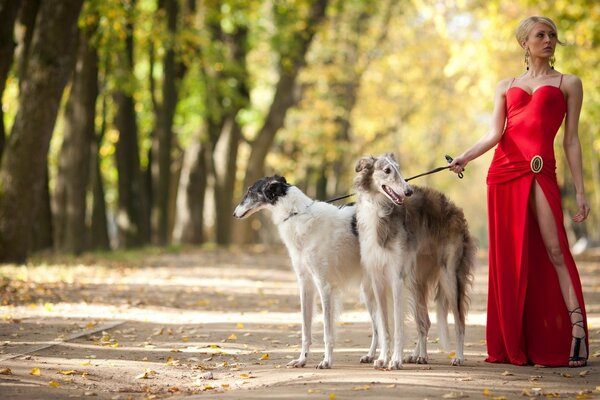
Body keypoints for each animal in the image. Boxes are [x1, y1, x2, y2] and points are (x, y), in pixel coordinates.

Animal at [232, 175, 378, 368]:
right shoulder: (305, 283)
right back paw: (372, 355)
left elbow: (327, 331)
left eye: (250, 191)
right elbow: (305, 329)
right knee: (379, 327)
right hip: (369, 290)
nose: (234, 214)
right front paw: (302, 359)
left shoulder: (324, 285)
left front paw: (326, 361)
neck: (296, 214)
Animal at [354, 153, 476, 368]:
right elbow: (384, 326)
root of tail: (455, 210)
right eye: (387, 170)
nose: (408, 191)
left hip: (449, 276)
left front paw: (395, 360)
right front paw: (382, 358)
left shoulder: (396, 277)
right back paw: (419, 355)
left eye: (399, 169)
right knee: (424, 321)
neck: (380, 210)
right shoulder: (377, 280)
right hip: (415, 278)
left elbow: (397, 326)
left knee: (459, 321)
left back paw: (458, 357)